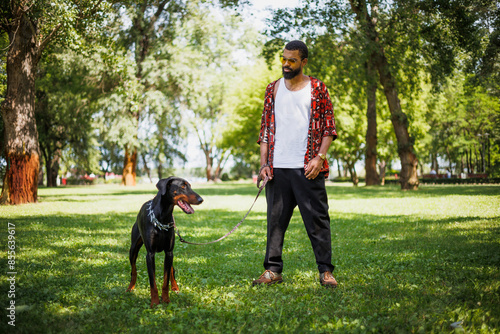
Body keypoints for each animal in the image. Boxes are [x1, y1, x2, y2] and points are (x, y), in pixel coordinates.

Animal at [127, 177, 203, 308]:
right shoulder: (150, 254)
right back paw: (130, 287)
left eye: (190, 185)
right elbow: (152, 282)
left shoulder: (169, 252)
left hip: (170, 254)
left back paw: (175, 287)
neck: (162, 217)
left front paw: (166, 300)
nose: (201, 200)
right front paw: (154, 302)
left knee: (172, 270)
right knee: (133, 270)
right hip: (133, 249)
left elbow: (166, 280)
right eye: (182, 186)